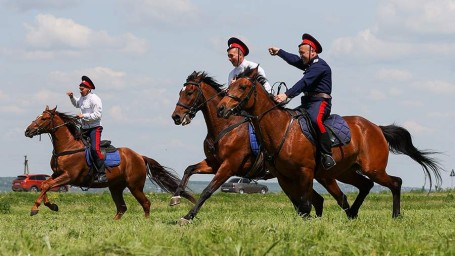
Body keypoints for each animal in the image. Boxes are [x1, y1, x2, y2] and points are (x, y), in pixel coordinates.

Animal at [24, 105, 196, 219]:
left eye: (44, 118)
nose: (27, 131)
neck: (68, 147)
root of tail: (140, 156)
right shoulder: (57, 174)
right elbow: (45, 184)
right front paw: (51, 206)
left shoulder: (68, 176)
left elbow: (46, 185)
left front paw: (35, 208)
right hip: (116, 187)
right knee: (122, 208)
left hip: (134, 186)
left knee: (146, 203)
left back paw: (146, 222)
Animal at [219, 66, 444, 218]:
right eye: (230, 85)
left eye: (243, 86)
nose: (221, 108)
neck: (281, 129)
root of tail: (376, 128)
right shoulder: (284, 177)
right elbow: (300, 206)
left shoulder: (305, 172)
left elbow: (306, 204)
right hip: (345, 171)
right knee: (366, 185)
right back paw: (352, 213)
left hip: (372, 168)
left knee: (395, 182)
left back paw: (395, 215)